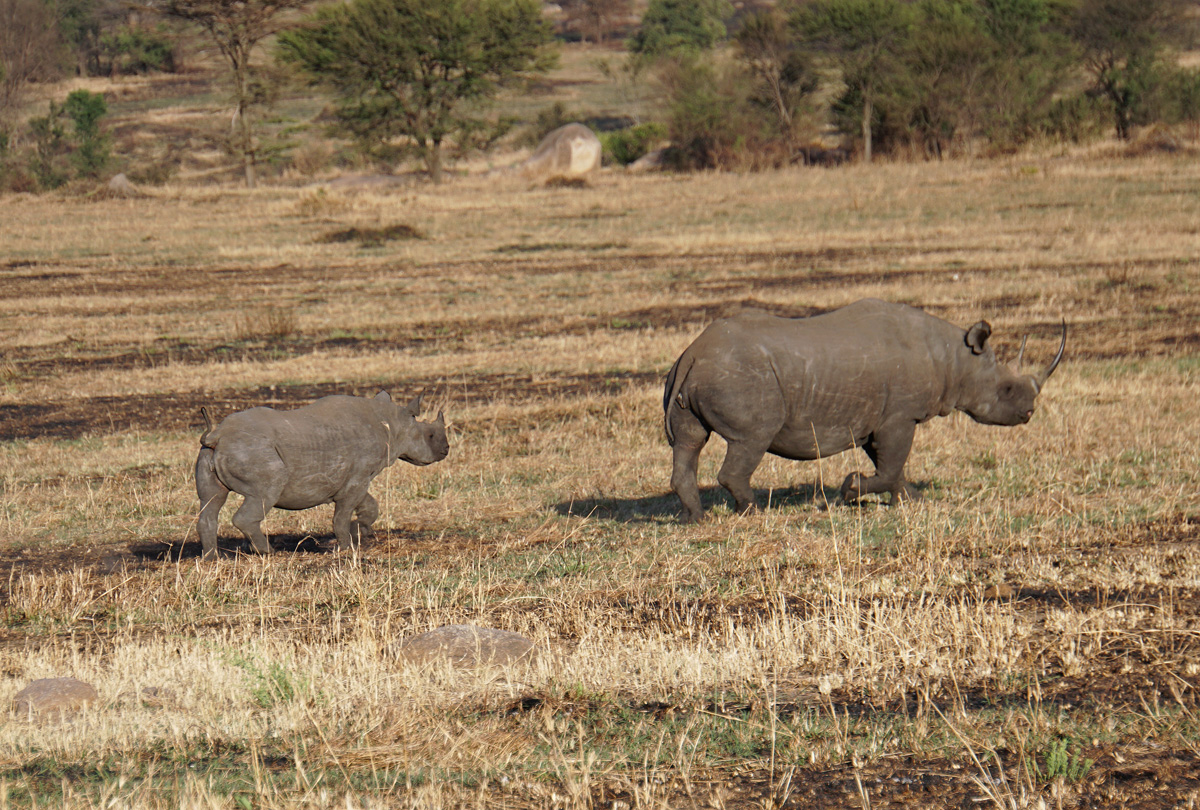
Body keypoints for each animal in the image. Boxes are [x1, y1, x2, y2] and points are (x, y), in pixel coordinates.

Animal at [195, 391, 448, 559]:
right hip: (253, 451)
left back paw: (212, 558)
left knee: (211, 500)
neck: (393, 424)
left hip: (209, 454)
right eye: (430, 435)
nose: (446, 450)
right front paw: (345, 547)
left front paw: (360, 531)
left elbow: (369, 506)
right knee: (266, 492)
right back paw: (269, 552)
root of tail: (216, 436)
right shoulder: (358, 476)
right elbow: (342, 514)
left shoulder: (357, 478)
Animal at [663, 299, 1065, 521]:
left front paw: (912, 500)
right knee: (751, 440)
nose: (1029, 413)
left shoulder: (881, 418)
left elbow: (891, 466)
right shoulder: (901, 415)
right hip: (741, 377)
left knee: (689, 442)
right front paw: (850, 489)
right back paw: (754, 513)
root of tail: (693, 353)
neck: (956, 358)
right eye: (1007, 389)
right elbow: (889, 465)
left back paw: (695, 519)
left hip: (693, 374)